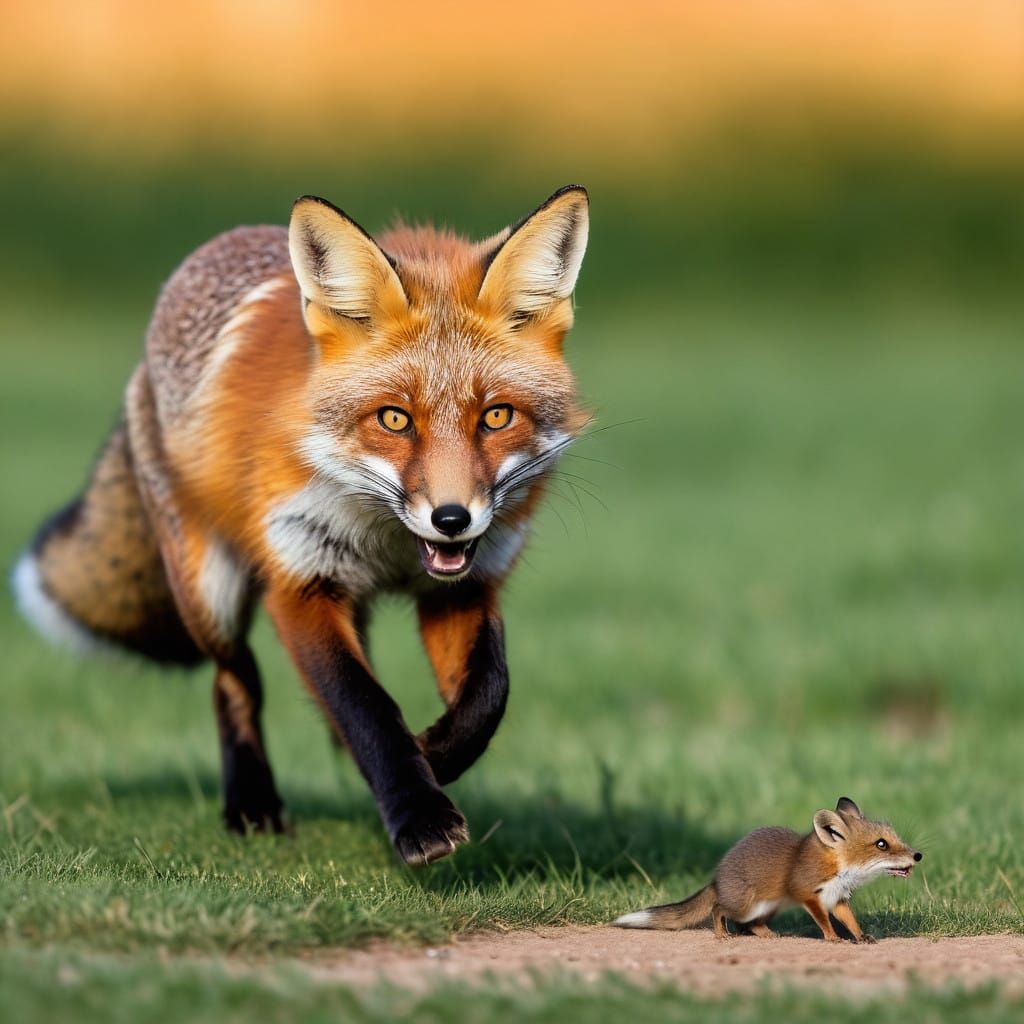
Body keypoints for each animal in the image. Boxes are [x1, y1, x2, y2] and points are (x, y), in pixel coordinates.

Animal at [13, 185, 591, 865]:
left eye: (497, 416)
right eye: (394, 419)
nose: (451, 520)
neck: (388, 542)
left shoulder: (463, 588)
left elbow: (488, 692)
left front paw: (437, 754)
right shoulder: (301, 582)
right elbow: (363, 704)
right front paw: (419, 815)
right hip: (208, 592)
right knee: (233, 680)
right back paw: (252, 807)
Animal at [614, 798, 922, 942]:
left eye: (894, 838)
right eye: (881, 844)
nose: (918, 855)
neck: (836, 868)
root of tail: (717, 878)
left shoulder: (838, 899)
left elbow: (852, 922)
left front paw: (860, 937)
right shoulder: (808, 894)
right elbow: (824, 922)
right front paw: (833, 939)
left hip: (768, 908)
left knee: (751, 925)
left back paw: (768, 935)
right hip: (744, 905)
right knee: (719, 910)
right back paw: (721, 934)